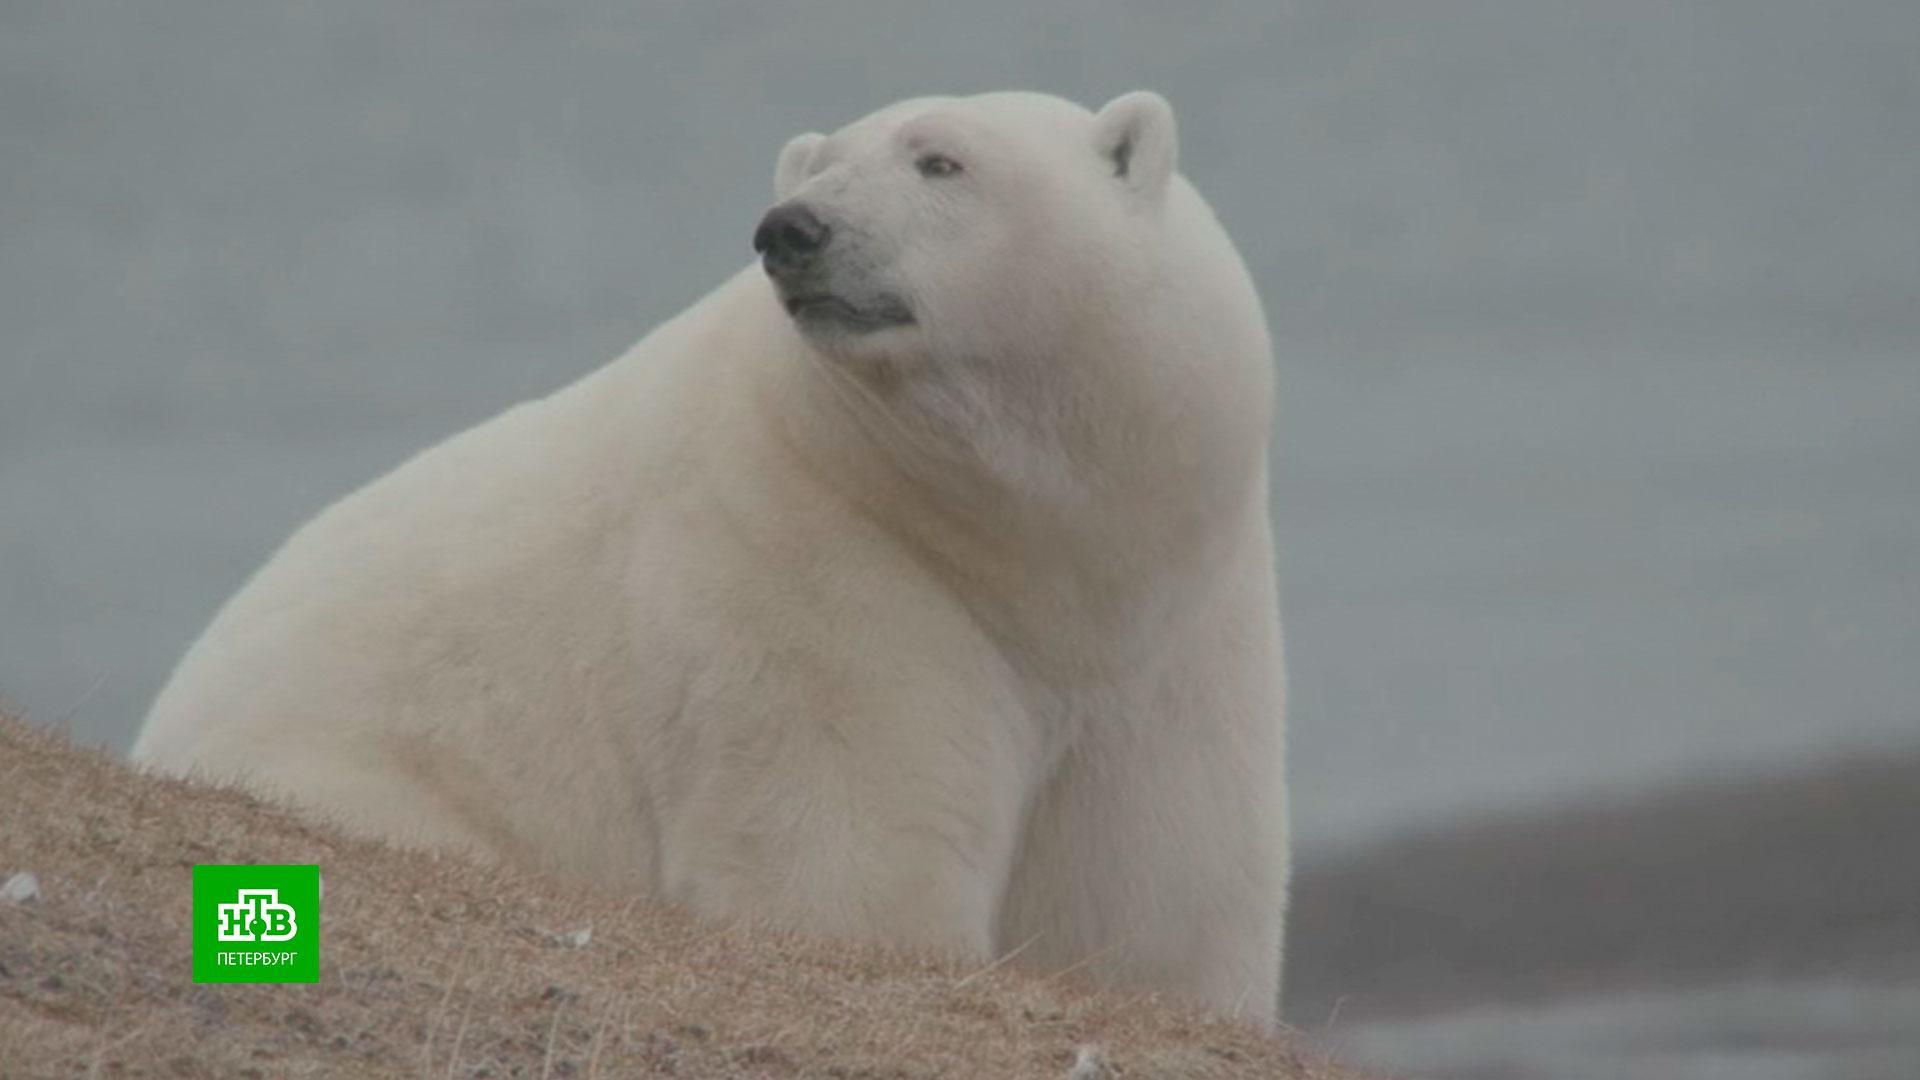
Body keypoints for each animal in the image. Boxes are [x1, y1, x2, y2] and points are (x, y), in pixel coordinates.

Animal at [139, 90, 1290, 1014]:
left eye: (939, 160)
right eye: (820, 165)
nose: (794, 227)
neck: (1031, 555)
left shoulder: (1177, 630)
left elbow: (1156, 878)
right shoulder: (816, 561)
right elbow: (847, 857)